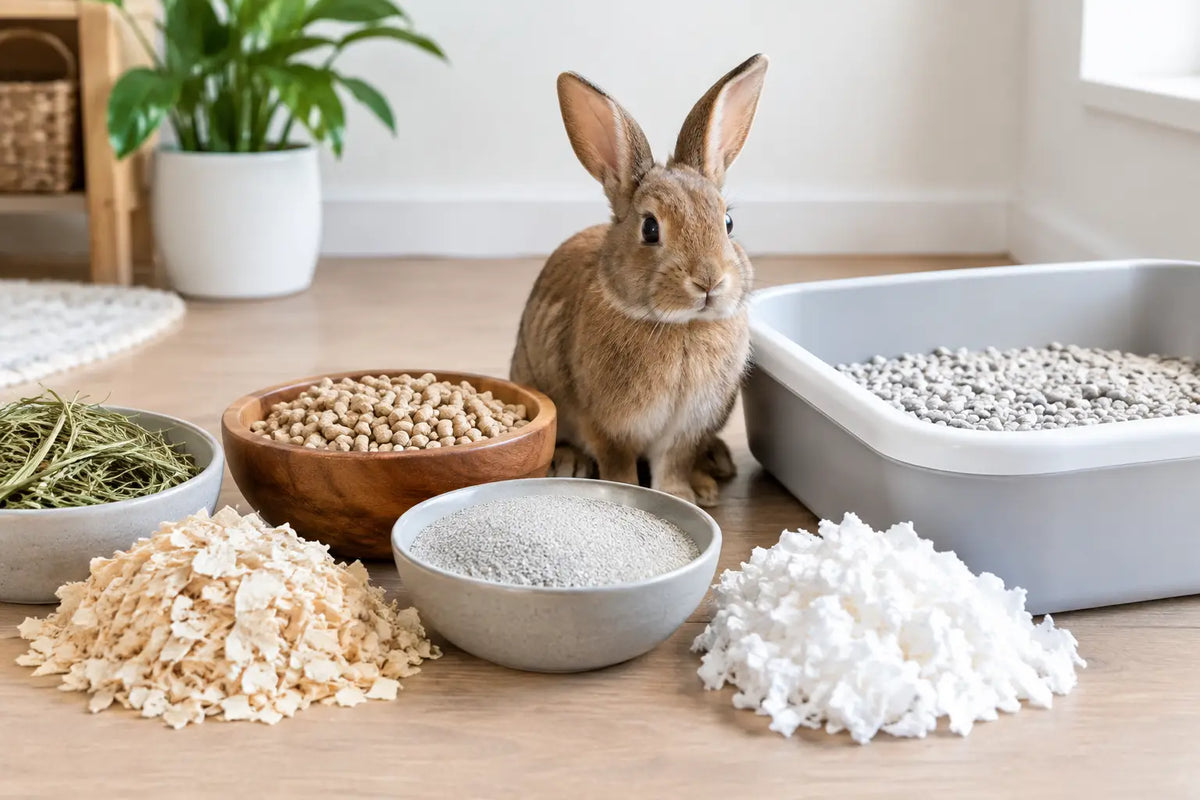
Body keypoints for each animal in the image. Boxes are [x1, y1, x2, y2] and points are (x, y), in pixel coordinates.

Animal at [510, 54, 768, 507]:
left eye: (728, 223)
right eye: (650, 229)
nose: (708, 282)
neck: (681, 327)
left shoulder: (686, 429)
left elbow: (674, 463)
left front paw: (683, 497)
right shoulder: (608, 425)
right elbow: (618, 464)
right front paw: (627, 493)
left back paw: (712, 474)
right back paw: (570, 463)